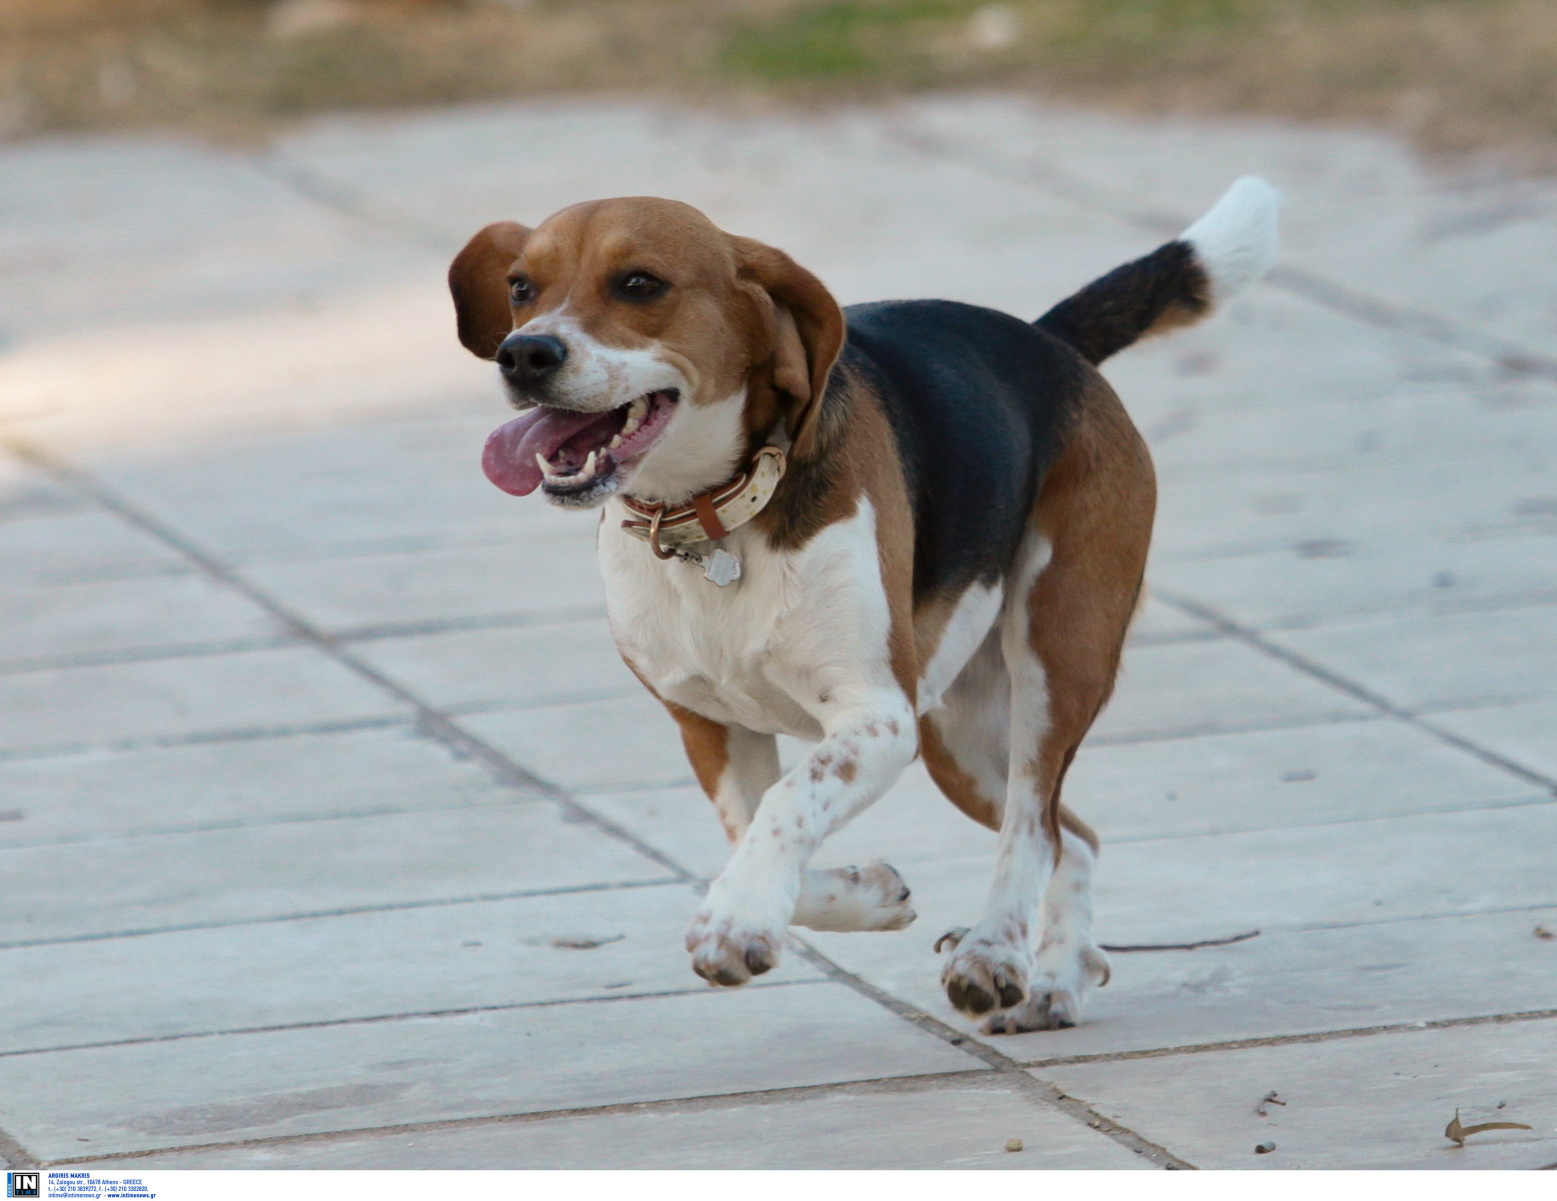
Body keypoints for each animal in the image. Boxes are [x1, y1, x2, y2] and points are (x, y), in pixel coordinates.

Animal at [448, 178, 1276, 1034]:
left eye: (639, 283)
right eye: (520, 287)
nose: (525, 353)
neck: (714, 520)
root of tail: (1048, 341)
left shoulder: (876, 717)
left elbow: (786, 801)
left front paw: (736, 919)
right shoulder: (710, 725)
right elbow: (752, 826)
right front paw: (862, 895)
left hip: (1056, 659)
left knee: (1033, 824)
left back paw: (994, 951)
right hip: (957, 736)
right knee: (1068, 834)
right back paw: (1056, 975)